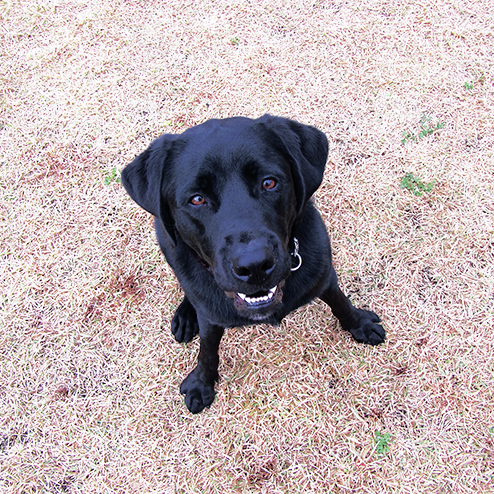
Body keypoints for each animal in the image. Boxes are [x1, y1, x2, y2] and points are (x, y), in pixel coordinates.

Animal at [120, 116, 386, 412]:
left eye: (269, 183)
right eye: (197, 199)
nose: (254, 265)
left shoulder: (323, 274)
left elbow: (340, 302)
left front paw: (359, 324)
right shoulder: (211, 317)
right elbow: (208, 350)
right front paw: (202, 382)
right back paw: (186, 315)